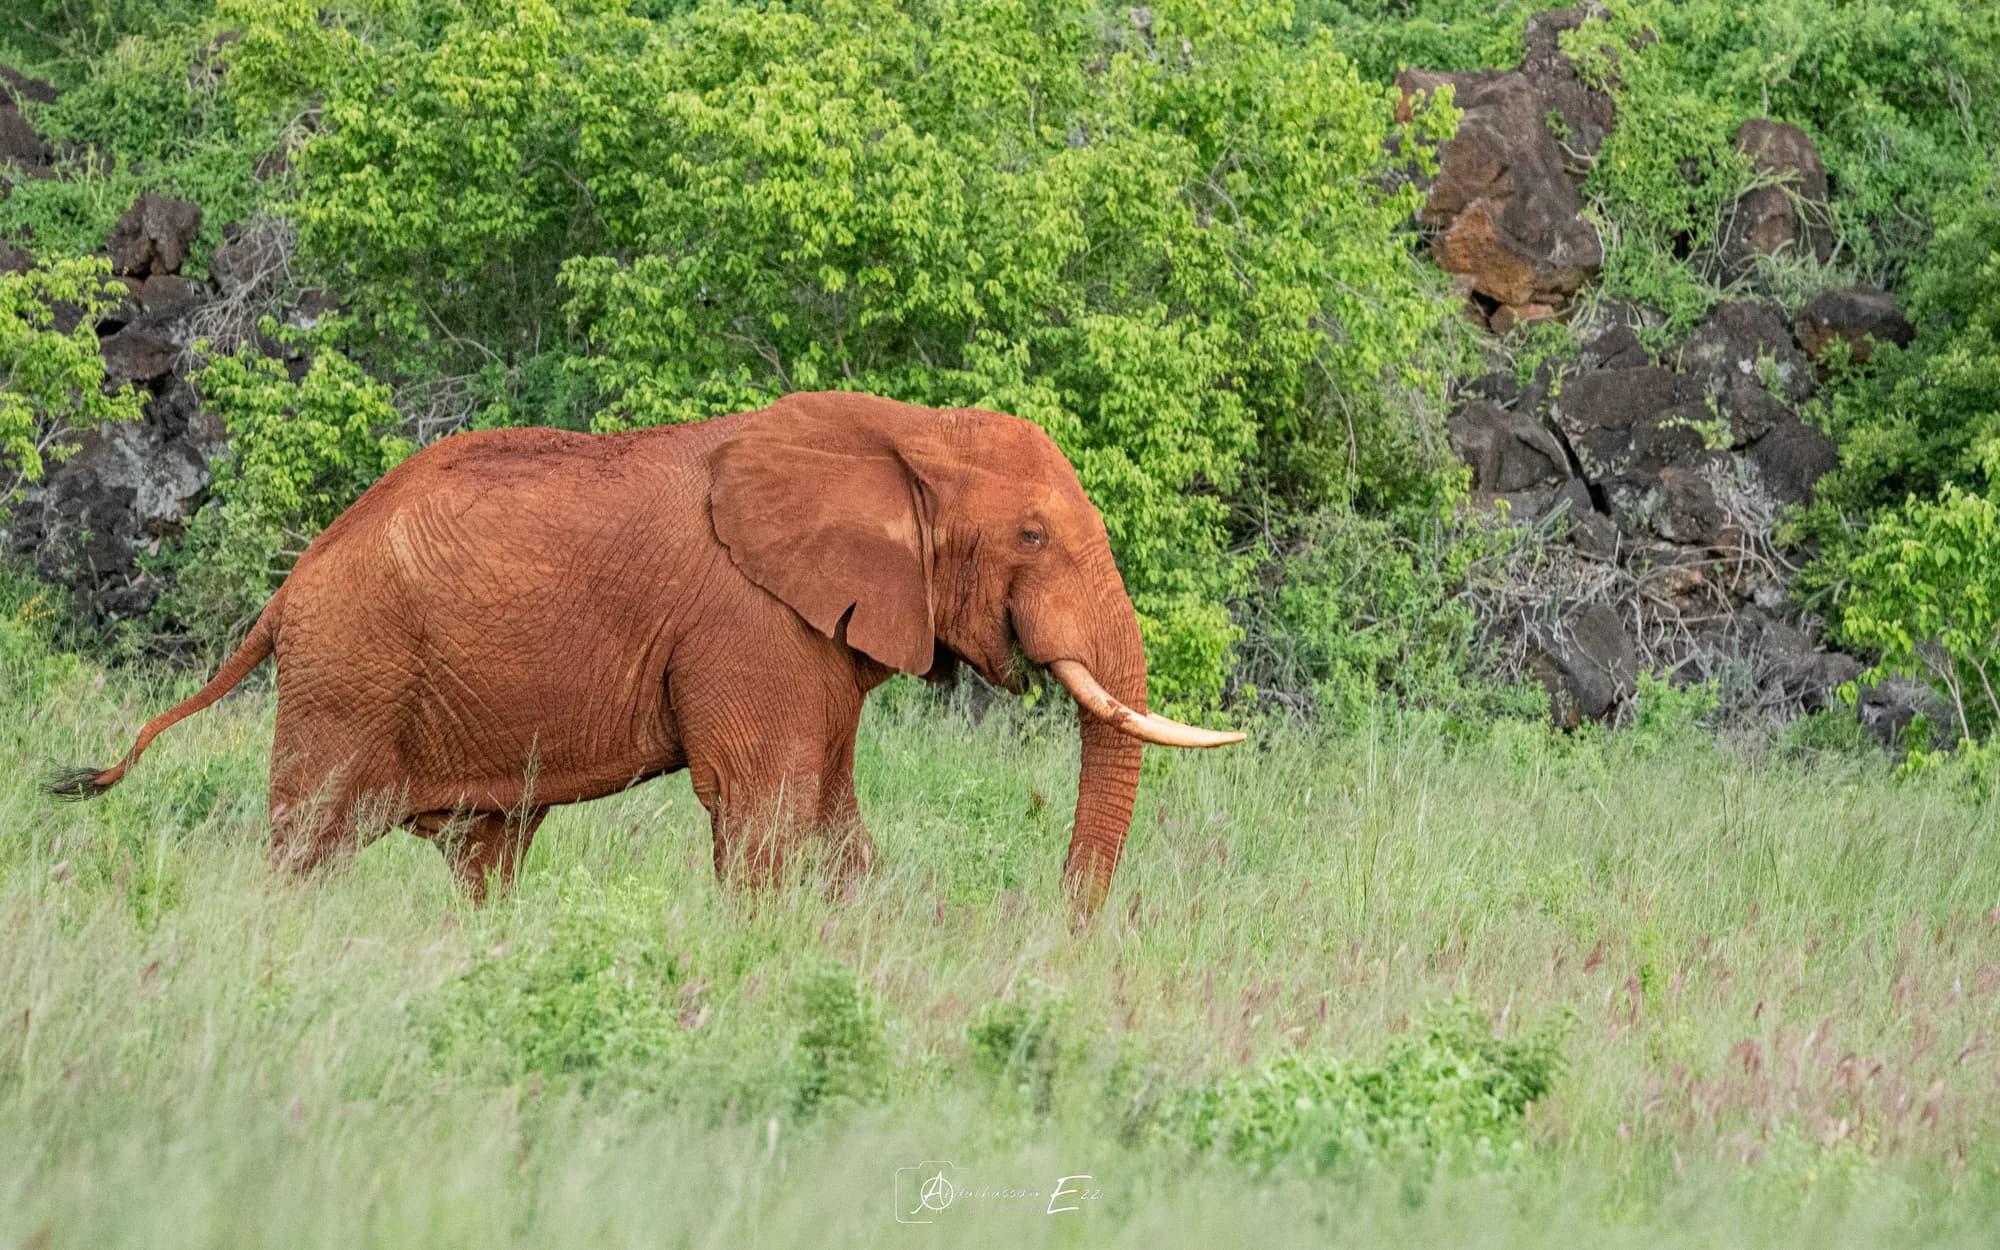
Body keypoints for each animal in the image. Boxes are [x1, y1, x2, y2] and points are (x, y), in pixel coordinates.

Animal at [50, 391, 1243, 917]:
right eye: (1032, 536)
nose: (1061, 926)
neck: (904, 428)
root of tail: (288, 586)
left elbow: (830, 814)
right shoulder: (749, 622)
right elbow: (765, 803)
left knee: (486, 846)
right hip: (352, 663)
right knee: (312, 839)